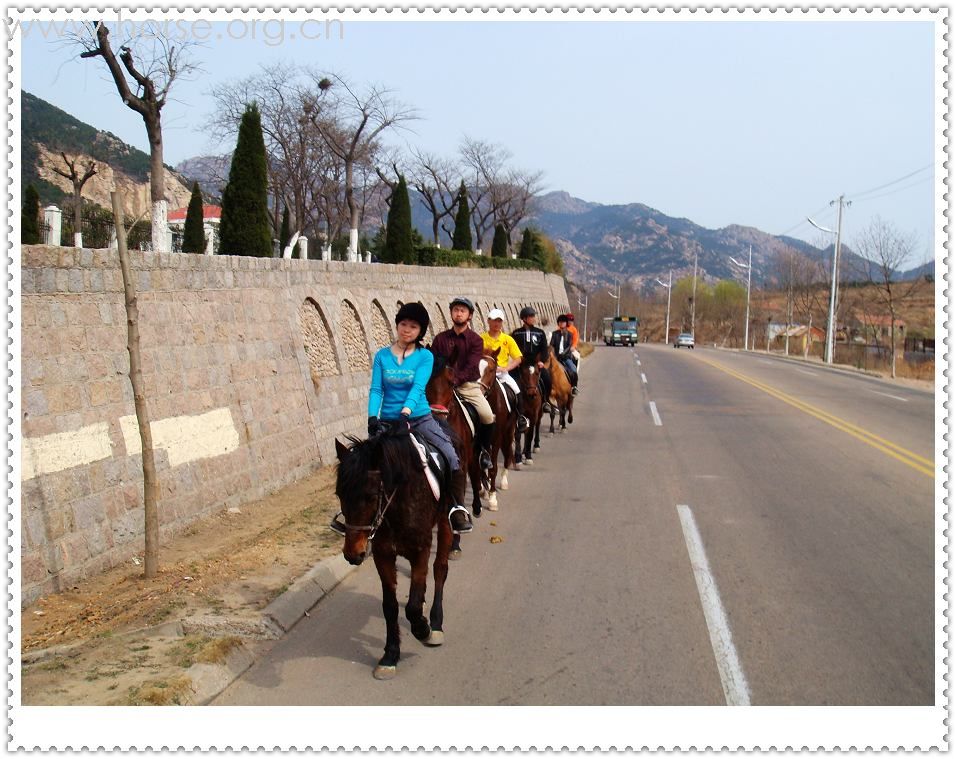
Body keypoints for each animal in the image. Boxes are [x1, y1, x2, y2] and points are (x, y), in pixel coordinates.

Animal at [334, 428, 454, 684]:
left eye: (370, 496)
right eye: (339, 493)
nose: (352, 554)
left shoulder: (421, 550)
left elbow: (412, 607)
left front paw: (423, 629)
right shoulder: (383, 555)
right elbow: (390, 606)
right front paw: (390, 655)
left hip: (445, 521)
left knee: (440, 569)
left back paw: (436, 623)